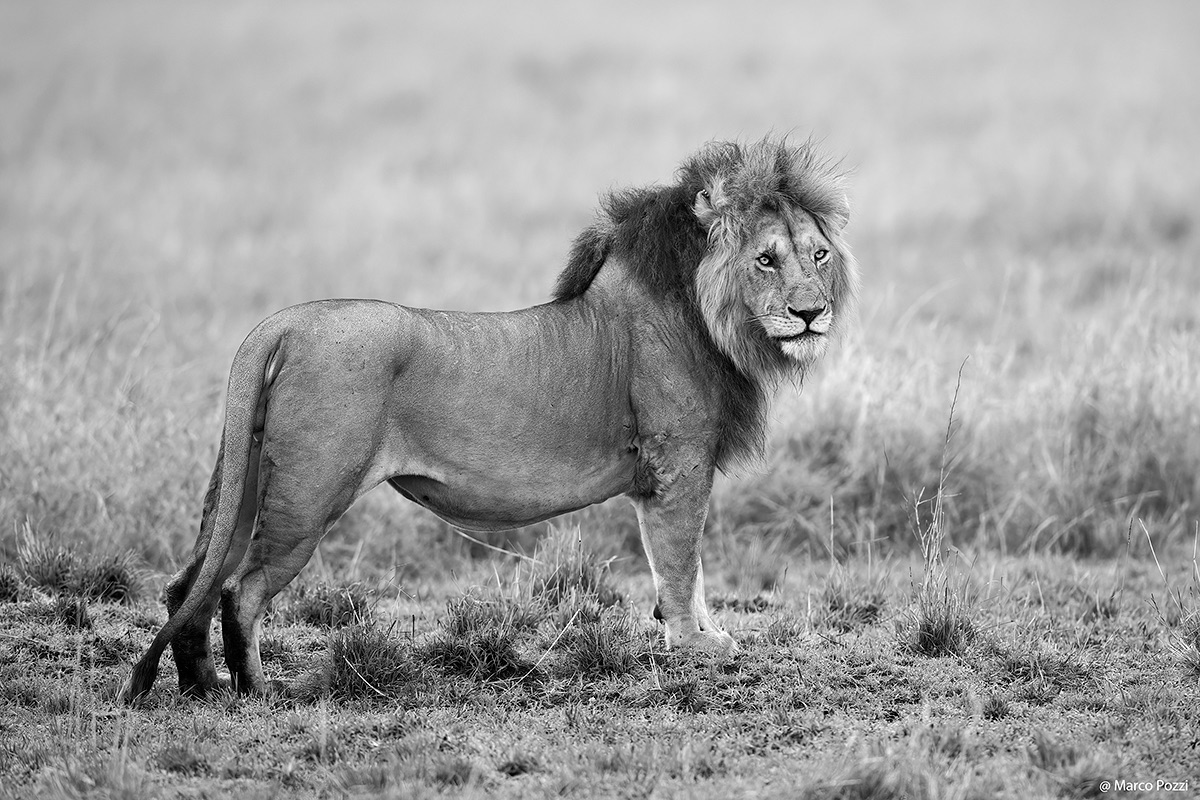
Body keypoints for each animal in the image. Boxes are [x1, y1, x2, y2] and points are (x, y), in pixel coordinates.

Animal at [124, 136, 858, 701]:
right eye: (766, 259)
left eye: (818, 255)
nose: (810, 313)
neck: (710, 316)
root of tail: (280, 325)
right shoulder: (677, 463)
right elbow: (681, 563)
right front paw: (697, 645)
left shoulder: (667, 474)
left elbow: (686, 565)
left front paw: (701, 634)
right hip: (307, 493)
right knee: (241, 590)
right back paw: (256, 691)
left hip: (247, 479)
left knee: (188, 585)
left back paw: (202, 689)